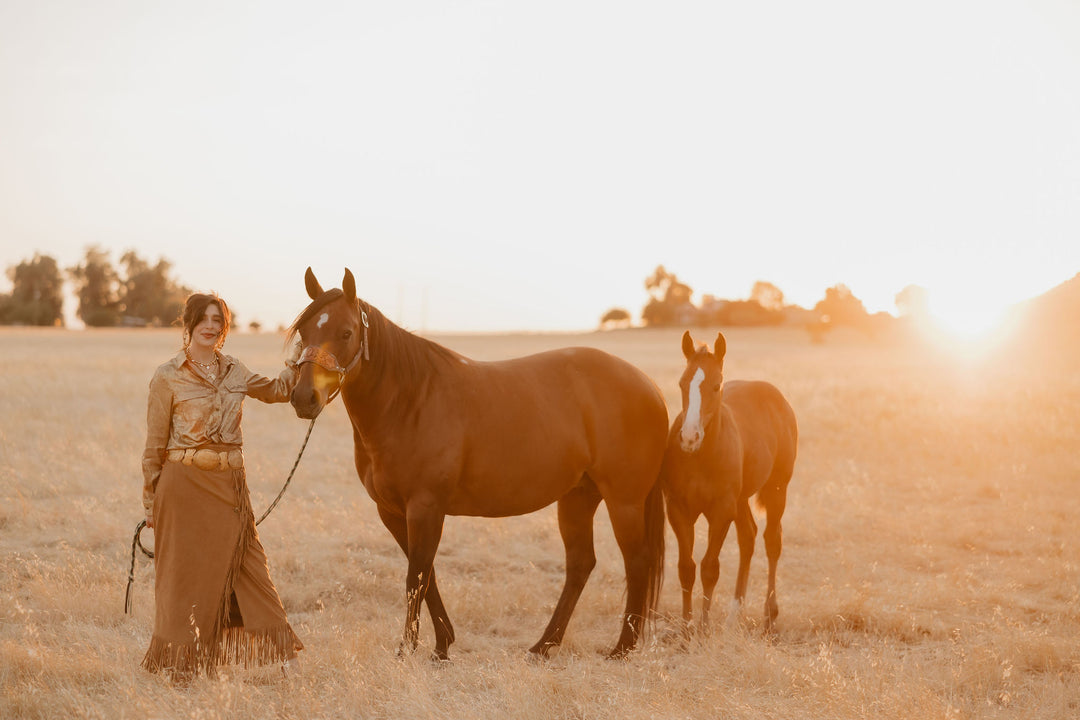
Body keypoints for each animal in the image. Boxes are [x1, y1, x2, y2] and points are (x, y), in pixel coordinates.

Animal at [287, 268, 665, 660]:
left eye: (346, 333)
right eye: (304, 332)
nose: (304, 397)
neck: (410, 402)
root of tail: (649, 385)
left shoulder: (425, 507)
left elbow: (415, 577)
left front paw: (407, 650)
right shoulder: (392, 512)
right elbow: (427, 575)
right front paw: (442, 645)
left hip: (624, 501)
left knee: (637, 562)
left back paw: (622, 648)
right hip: (578, 496)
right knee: (580, 564)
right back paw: (544, 645)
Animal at [652, 330, 799, 634]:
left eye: (716, 385)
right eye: (682, 383)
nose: (689, 437)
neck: (700, 457)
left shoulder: (720, 512)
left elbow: (710, 568)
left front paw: (704, 628)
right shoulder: (678, 510)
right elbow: (687, 568)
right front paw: (687, 630)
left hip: (777, 488)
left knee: (771, 541)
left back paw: (769, 616)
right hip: (740, 500)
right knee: (748, 538)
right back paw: (734, 615)